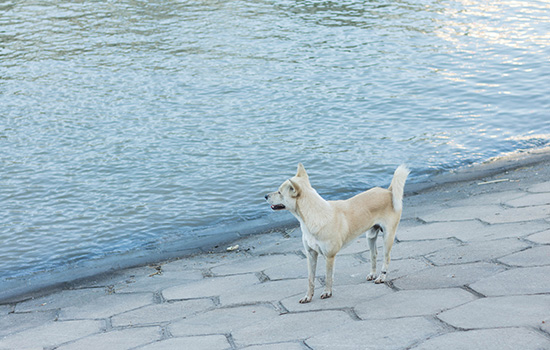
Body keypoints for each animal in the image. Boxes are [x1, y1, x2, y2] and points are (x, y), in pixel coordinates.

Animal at [266, 164, 412, 304]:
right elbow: (310, 279)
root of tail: (389, 191)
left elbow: (328, 276)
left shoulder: (329, 257)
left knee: (386, 257)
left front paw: (327, 292)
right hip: (370, 236)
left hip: (388, 236)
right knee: (374, 254)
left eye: (279, 192)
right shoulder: (311, 254)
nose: (265, 196)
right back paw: (372, 274)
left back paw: (381, 277)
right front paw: (308, 296)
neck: (312, 215)